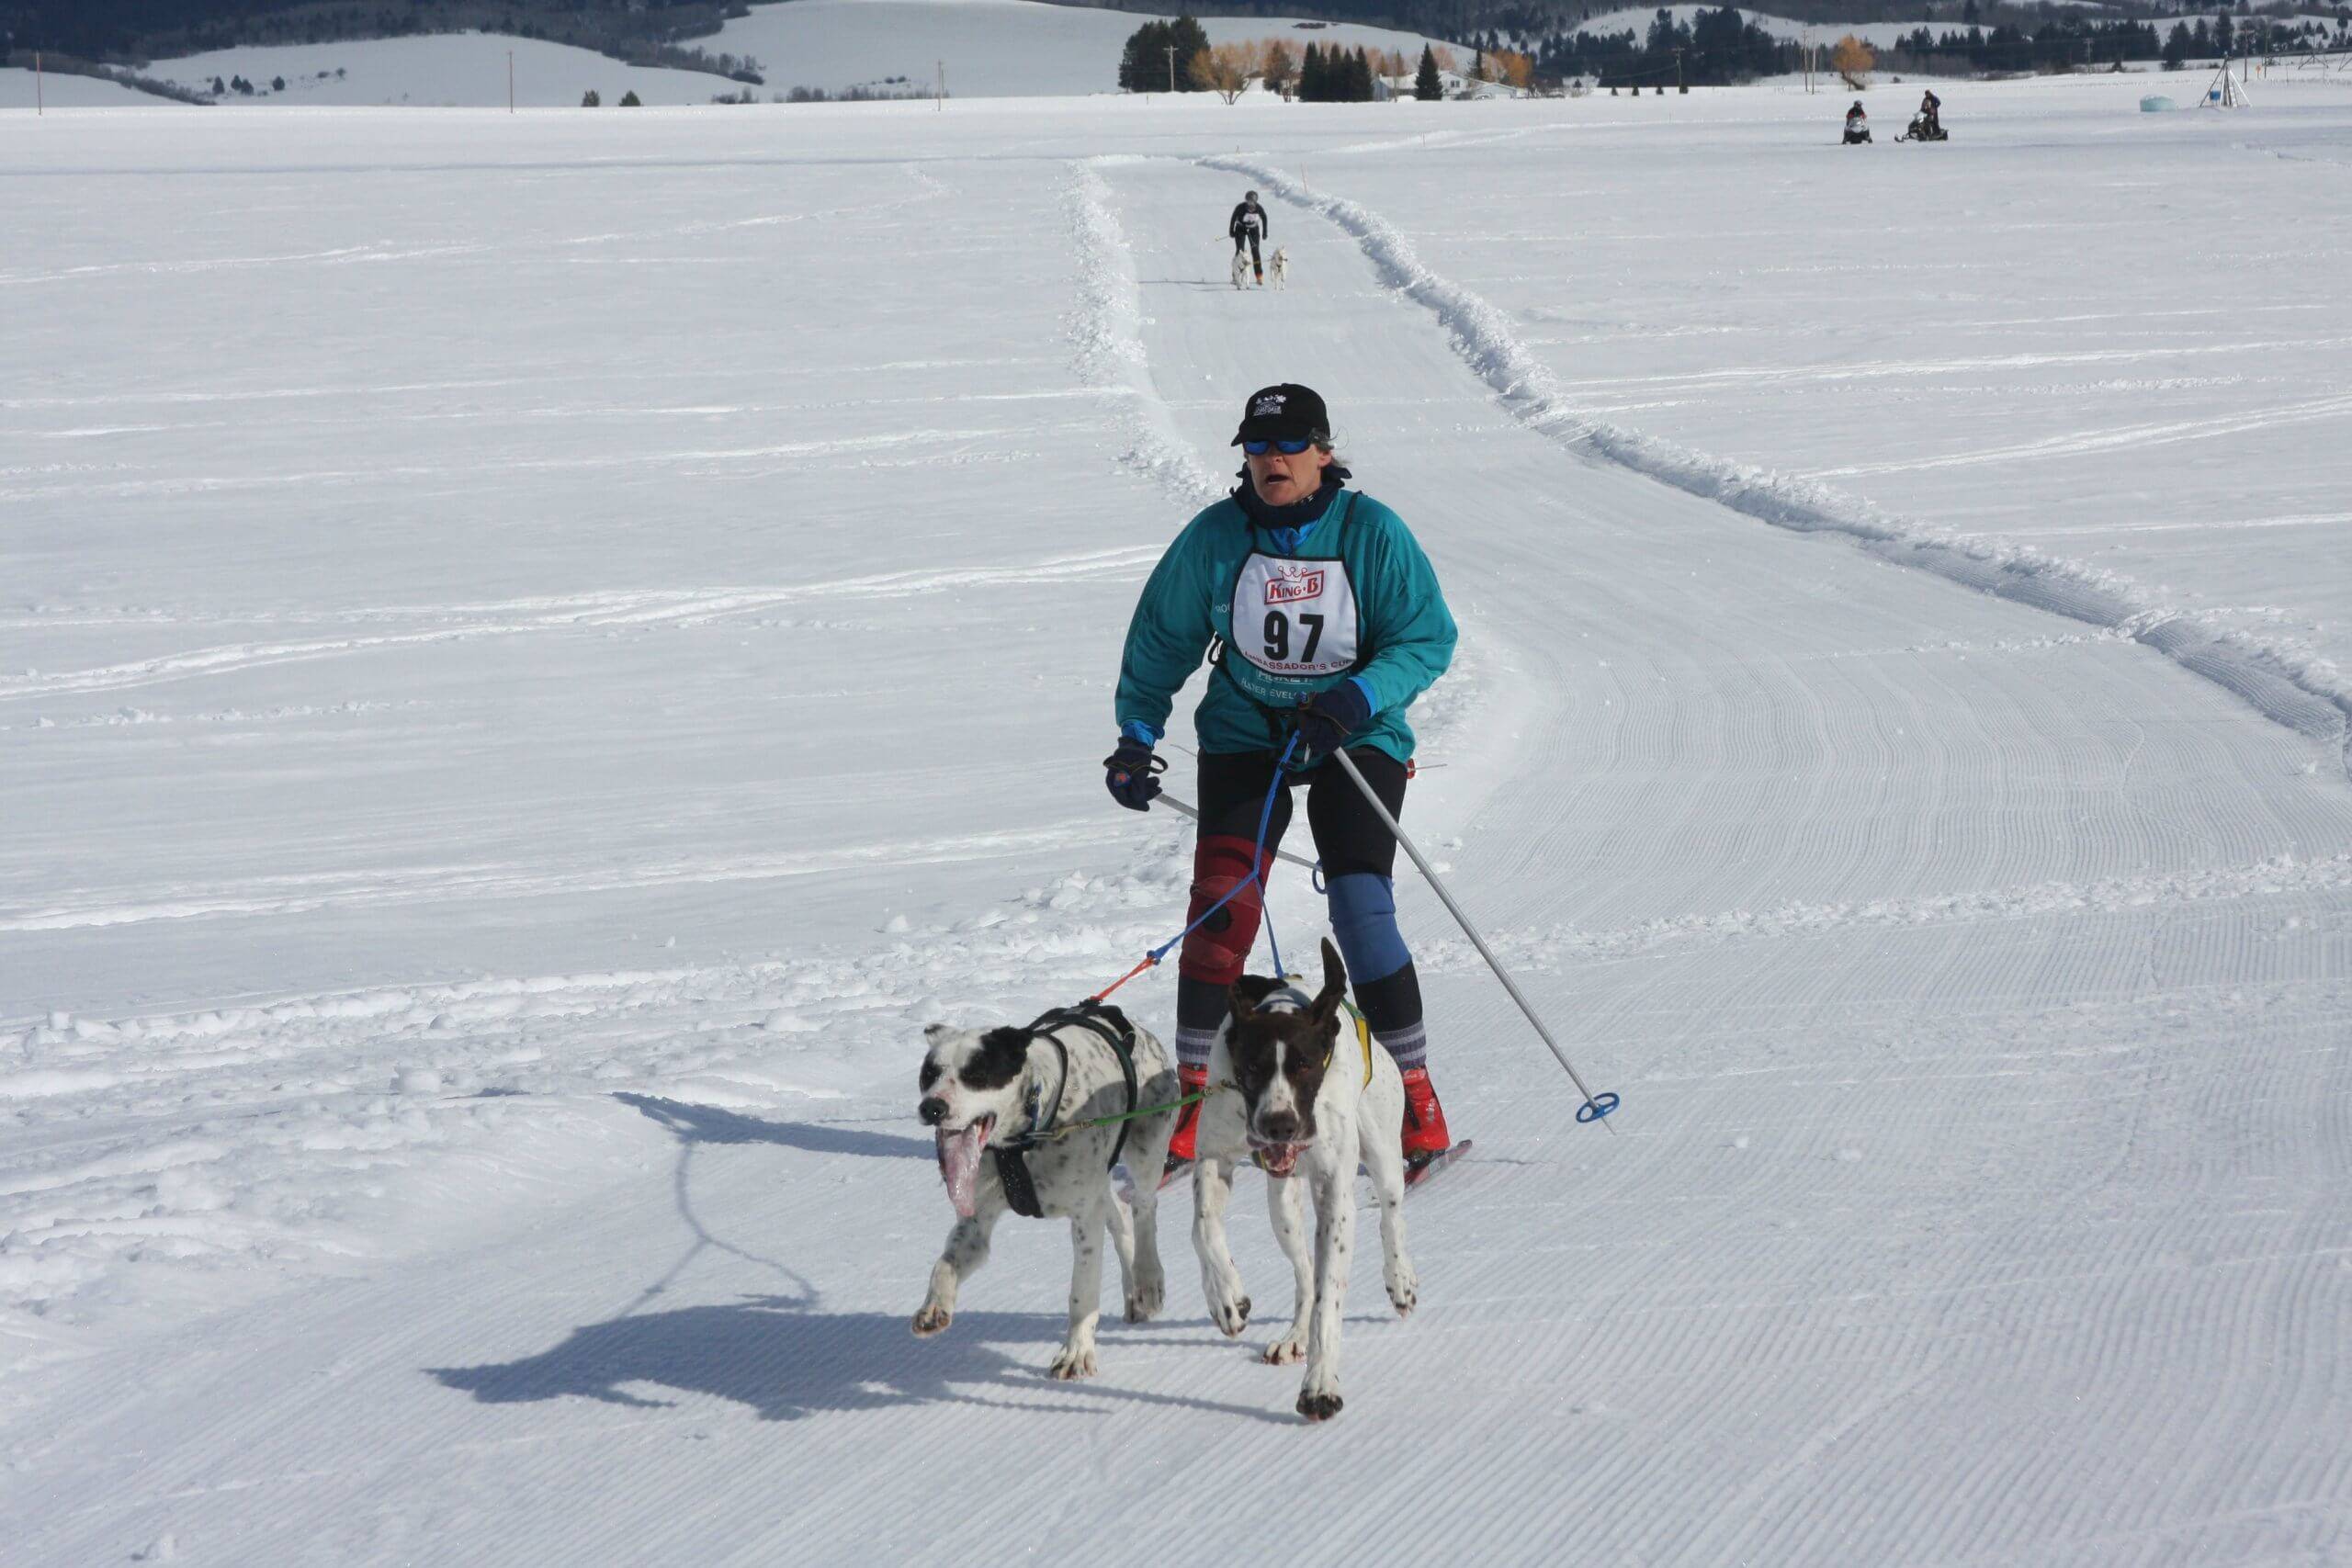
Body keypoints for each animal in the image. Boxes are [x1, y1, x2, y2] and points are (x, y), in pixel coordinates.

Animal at [912, 1010, 1176, 1382]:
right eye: (929, 1073)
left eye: (977, 1073)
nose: (931, 1107)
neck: (1024, 1136)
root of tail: (1138, 1030)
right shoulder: (976, 1223)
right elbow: (944, 1265)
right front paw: (935, 1304)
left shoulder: (1085, 1221)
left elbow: (1082, 1294)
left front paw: (1076, 1353)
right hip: (1100, 1186)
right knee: (1122, 1215)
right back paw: (1135, 1291)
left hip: (1146, 1151)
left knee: (1144, 1207)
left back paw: (1148, 1278)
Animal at [1194, 940, 1411, 1429]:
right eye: (1251, 1067)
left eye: (1305, 1065)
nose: (1279, 1124)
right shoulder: (1214, 1158)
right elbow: (1203, 1229)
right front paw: (1226, 1297)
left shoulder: (1335, 1197)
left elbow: (1329, 1299)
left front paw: (1320, 1386)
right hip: (1283, 1210)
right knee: (1303, 1273)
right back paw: (1293, 1335)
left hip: (1384, 1156)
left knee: (1391, 1217)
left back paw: (1401, 1279)